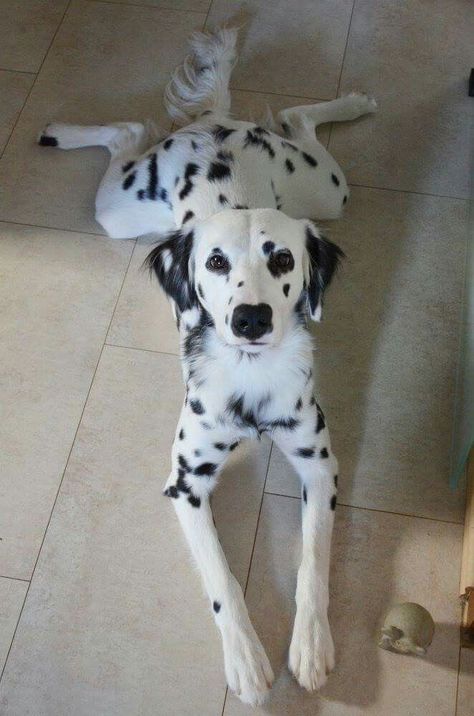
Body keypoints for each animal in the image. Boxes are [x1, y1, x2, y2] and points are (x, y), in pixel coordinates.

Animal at [38, 26, 378, 704]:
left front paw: (311, 644)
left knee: (297, 118)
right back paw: (63, 130)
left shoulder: (320, 468)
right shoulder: (186, 482)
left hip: (327, 190)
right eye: (215, 262)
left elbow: (313, 564)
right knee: (124, 132)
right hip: (120, 210)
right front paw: (245, 660)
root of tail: (216, 124)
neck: (250, 379)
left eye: (282, 260)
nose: (249, 319)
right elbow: (223, 582)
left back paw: (351, 103)